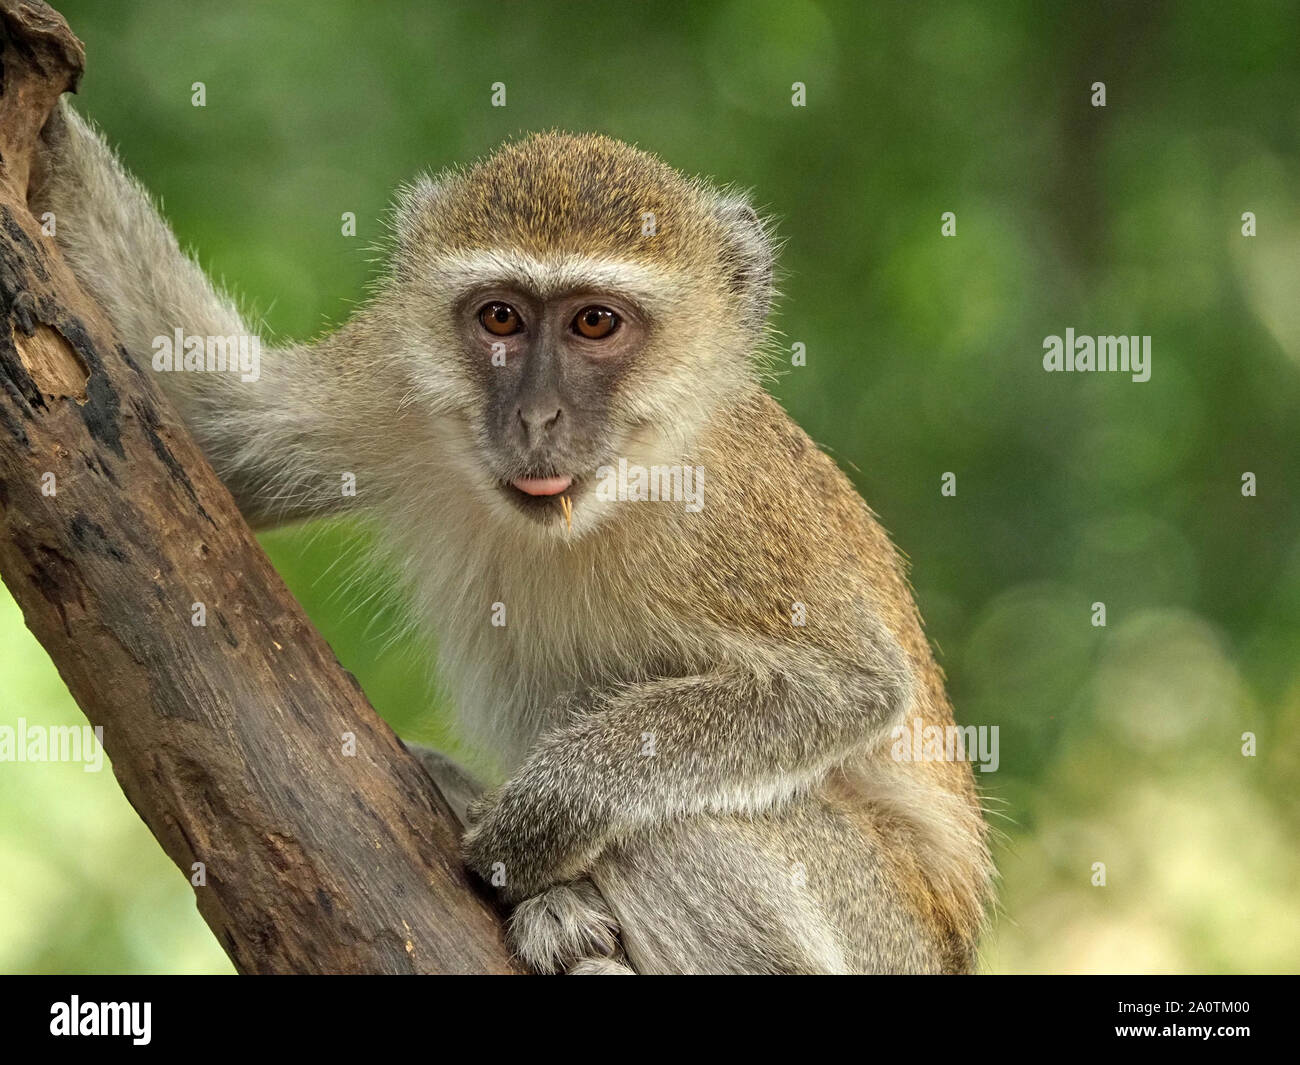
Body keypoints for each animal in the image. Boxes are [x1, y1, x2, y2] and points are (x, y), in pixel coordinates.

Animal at [29, 98, 992, 975]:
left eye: (594, 322)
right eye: (500, 318)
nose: (535, 417)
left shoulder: (734, 522)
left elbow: (845, 687)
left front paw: (550, 811)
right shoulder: (389, 378)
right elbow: (218, 423)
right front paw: (45, 123)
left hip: (883, 932)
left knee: (675, 826)